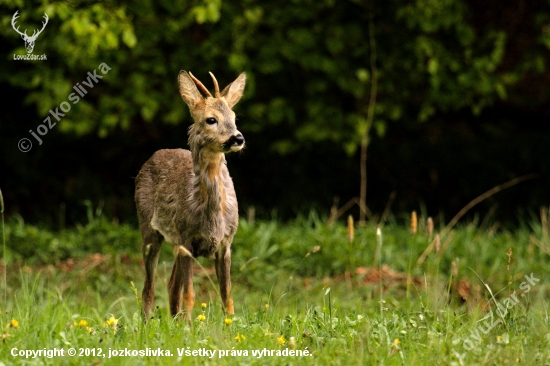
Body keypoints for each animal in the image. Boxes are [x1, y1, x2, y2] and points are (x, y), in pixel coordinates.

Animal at [135, 69, 247, 320]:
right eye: (211, 119)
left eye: (234, 117)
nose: (238, 138)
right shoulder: (187, 240)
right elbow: (190, 295)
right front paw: (189, 327)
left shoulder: (226, 243)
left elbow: (227, 296)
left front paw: (230, 325)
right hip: (149, 228)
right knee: (149, 287)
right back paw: (146, 324)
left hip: (174, 241)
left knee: (170, 285)